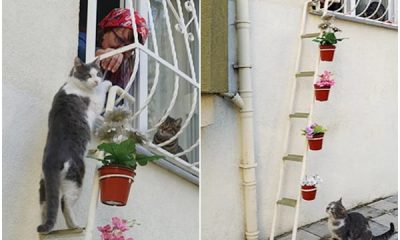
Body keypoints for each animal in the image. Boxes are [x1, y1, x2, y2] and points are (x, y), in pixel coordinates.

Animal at [37, 57, 111, 233]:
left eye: (98, 73)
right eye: (89, 75)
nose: (97, 80)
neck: (74, 84)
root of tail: (51, 161)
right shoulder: (95, 102)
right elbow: (101, 93)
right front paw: (108, 83)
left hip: (44, 186)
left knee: (47, 206)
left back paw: (47, 230)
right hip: (76, 178)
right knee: (65, 203)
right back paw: (75, 226)